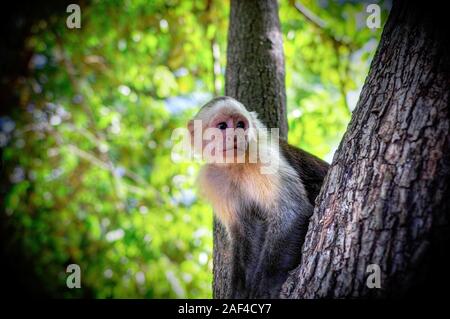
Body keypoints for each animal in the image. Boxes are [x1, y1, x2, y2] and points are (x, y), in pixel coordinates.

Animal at [188, 96, 328, 298]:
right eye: (222, 126)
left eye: (240, 124)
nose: (236, 135)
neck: (235, 166)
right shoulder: (214, 180)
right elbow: (245, 230)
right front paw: (239, 291)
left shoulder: (262, 156)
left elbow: (292, 213)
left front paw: (265, 287)